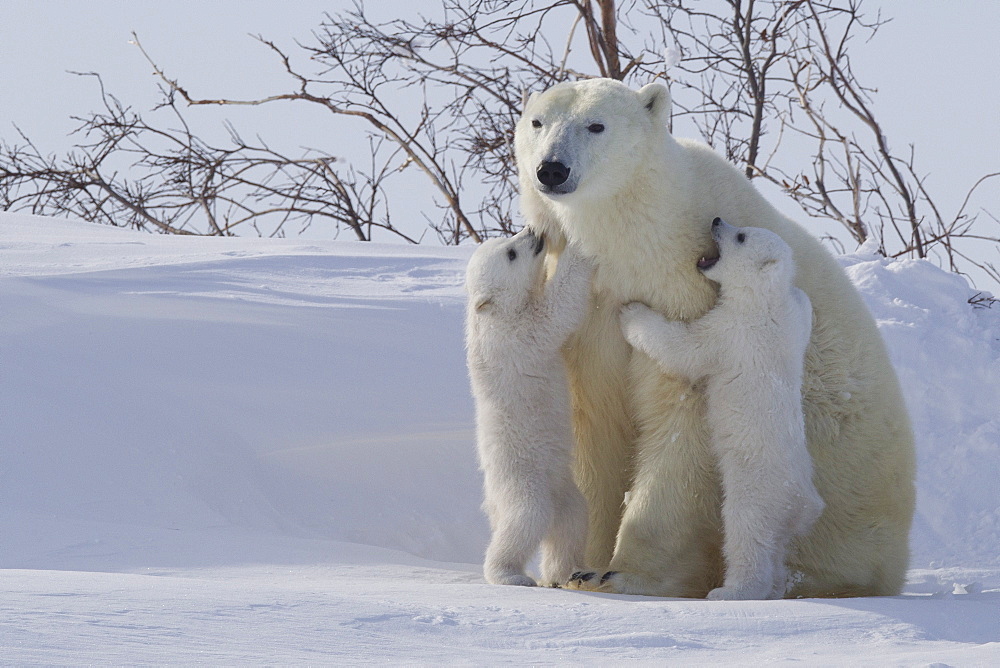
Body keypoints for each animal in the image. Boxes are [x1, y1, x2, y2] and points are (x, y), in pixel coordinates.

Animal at [462, 227, 588, 588]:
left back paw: (564, 573)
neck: (491, 314)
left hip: (560, 486)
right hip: (522, 478)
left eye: (508, 241)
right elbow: (556, 311)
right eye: (511, 254)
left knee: (572, 521)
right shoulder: (516, 335)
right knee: (526, 520)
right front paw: (578, 242)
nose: (533, 231)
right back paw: (512, 576)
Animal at [620, 219, 824, 600]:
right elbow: (803, 303)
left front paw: (631, 312)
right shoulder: (796, 317)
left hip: (757, 490)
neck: (763, 302)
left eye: (741, 236)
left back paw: (731, 591)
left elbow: (684, 348)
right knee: (775, 548)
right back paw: (774, 588)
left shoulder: (730, 333)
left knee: (748, 533)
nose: (716, 221)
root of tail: (805, 503)